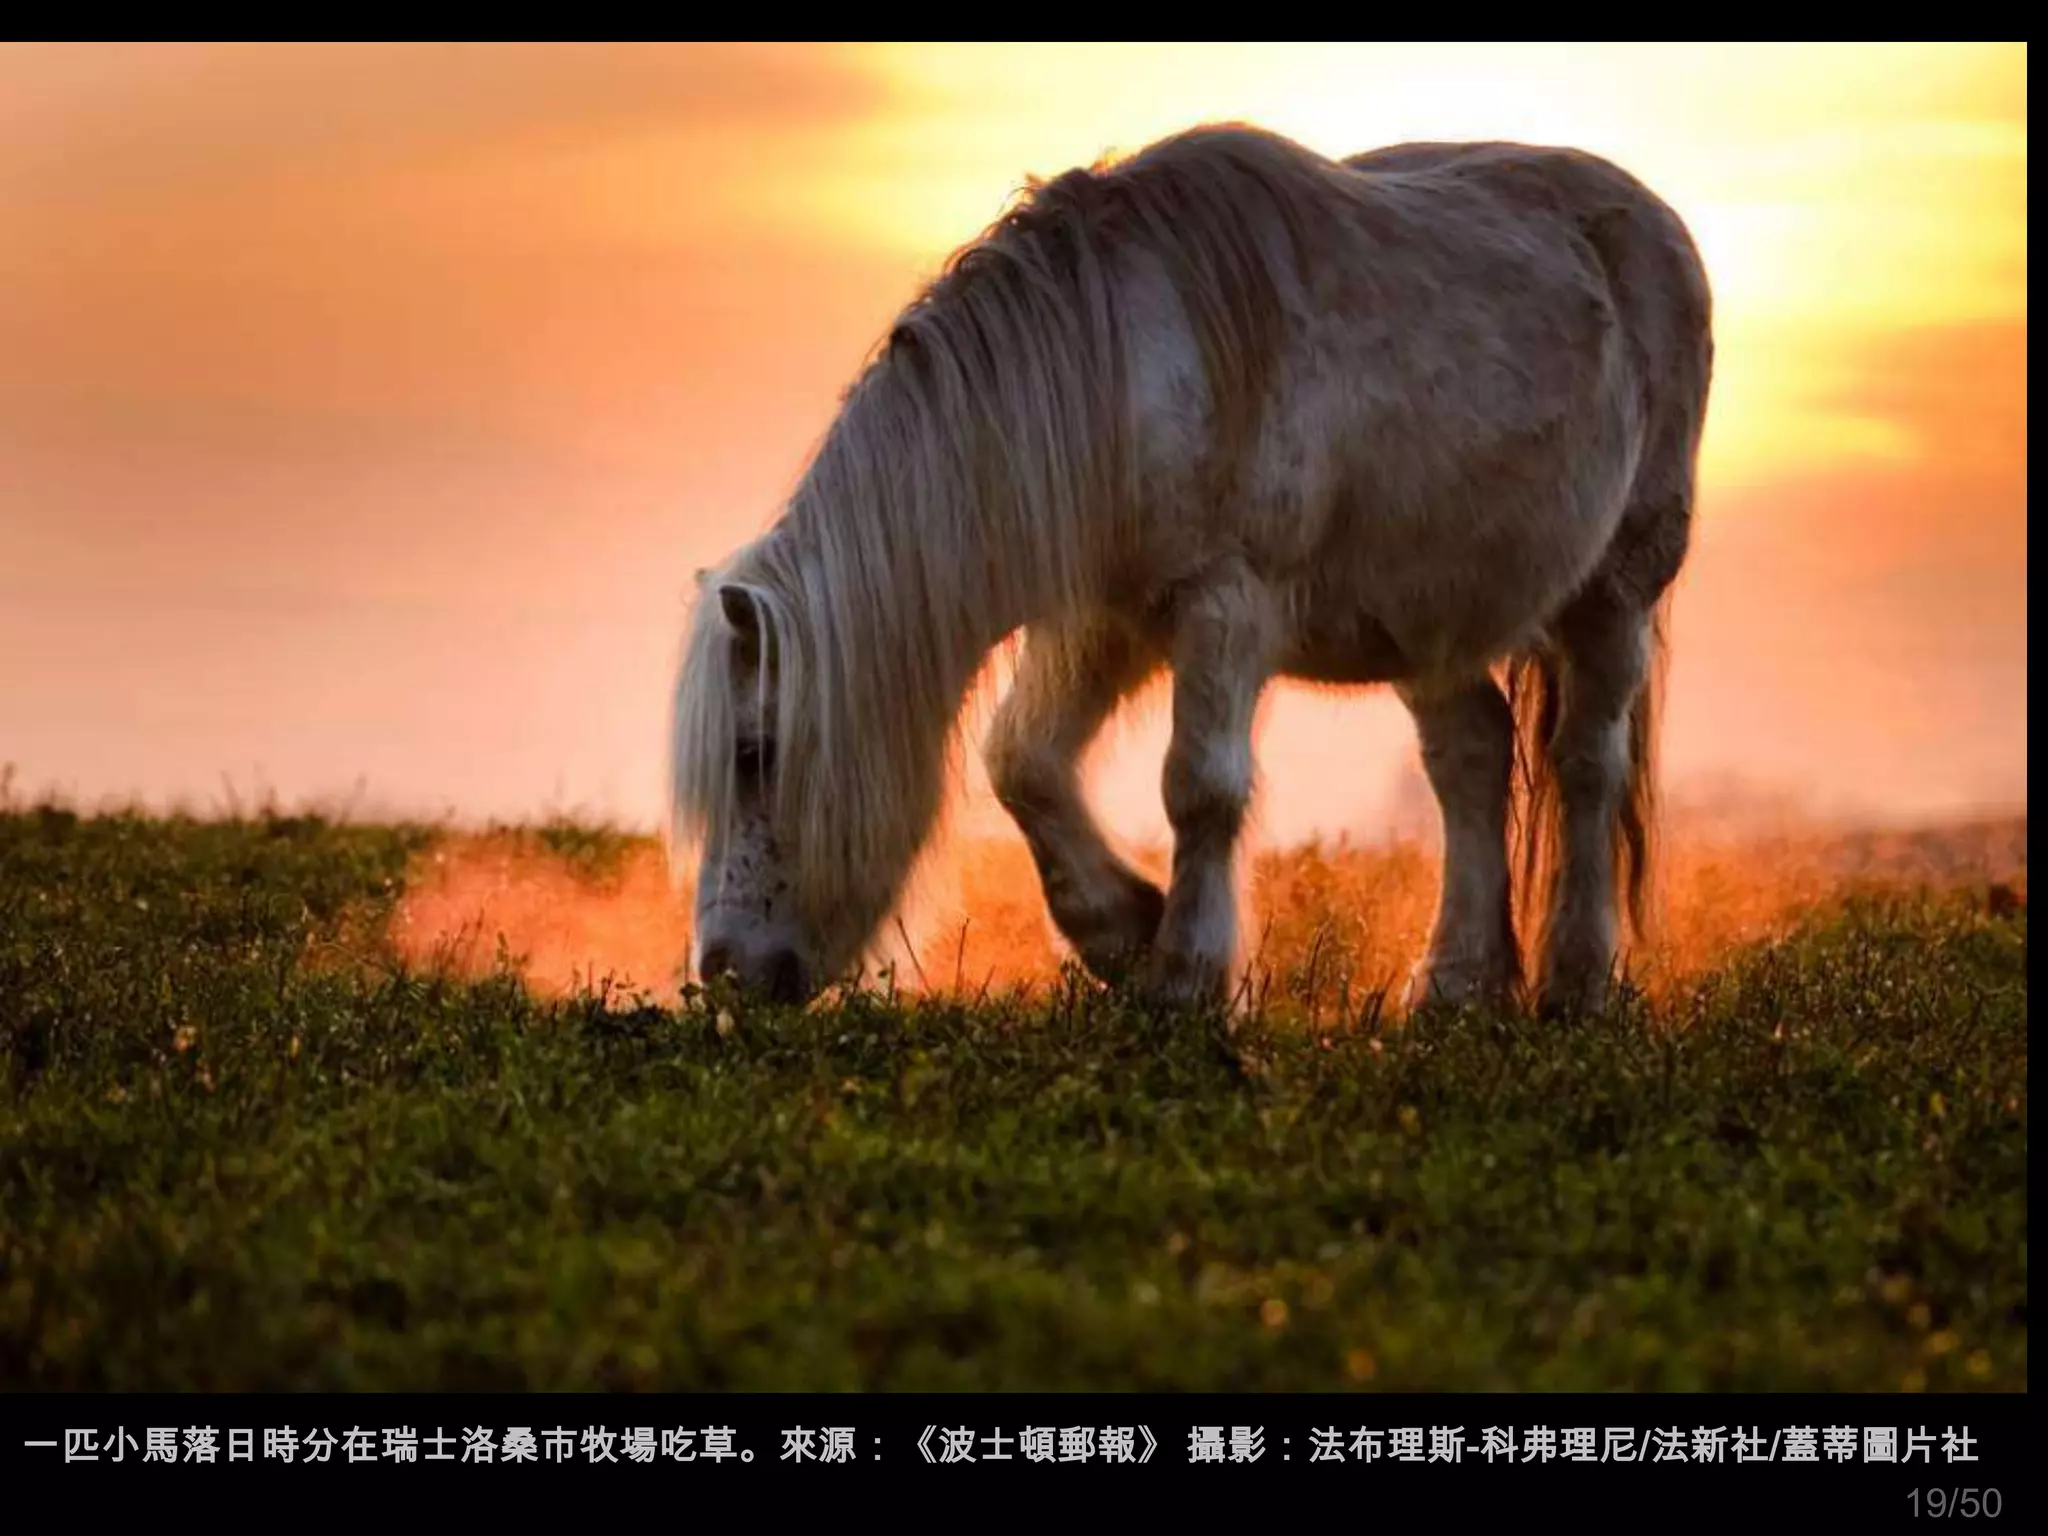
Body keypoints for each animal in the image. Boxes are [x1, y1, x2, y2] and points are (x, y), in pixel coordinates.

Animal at [669, 124, 1712, 1014]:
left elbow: (1200, 786)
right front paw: (1123, 932)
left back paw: (1575, 984)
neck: (1118, 367)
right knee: (1472, 761)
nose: (724, 972)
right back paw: (1456, 989)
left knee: (1585, 765)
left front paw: (1186, 975)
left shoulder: (1221, 606)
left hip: (1616, 591)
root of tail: (1654, 223)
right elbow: (1022, 760)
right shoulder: (1103, 621)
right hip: (1430, 618)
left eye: (755, 753)